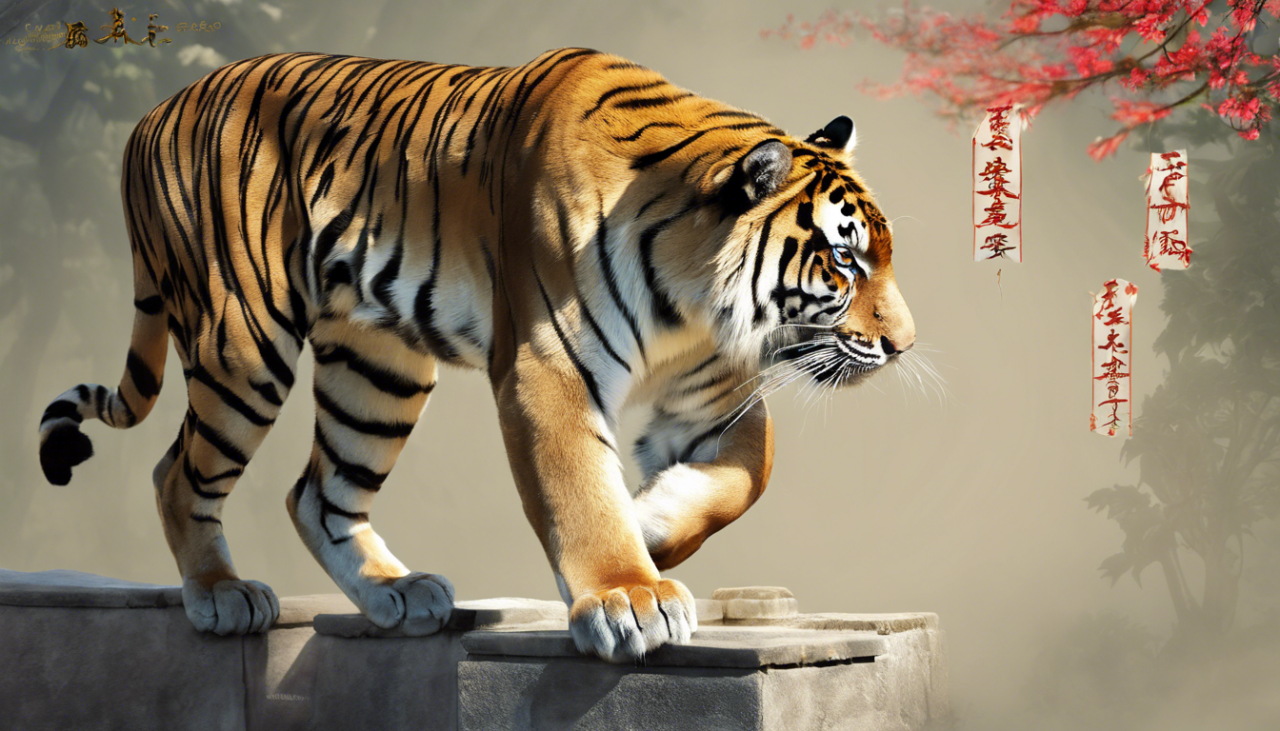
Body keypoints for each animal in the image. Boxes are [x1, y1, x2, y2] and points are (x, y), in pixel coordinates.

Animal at [36, 48, 914, 662]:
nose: (902, 345)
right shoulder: (546, 368)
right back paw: (222, 595)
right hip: (244, 341)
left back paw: (396, 592)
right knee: (178, 473)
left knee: (318, 491)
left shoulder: (715, 395)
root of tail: (150, 115)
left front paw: (651, 521)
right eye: (844, 262)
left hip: (377, 370)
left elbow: (745, 476)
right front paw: (628, 597)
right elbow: (578, 490)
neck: (690, 302)